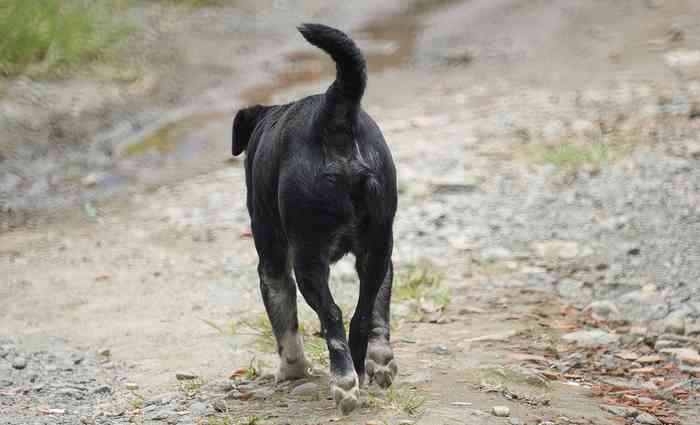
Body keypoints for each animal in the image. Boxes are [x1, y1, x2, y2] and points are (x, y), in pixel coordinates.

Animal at [232, 24, 396, 414]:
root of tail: (334, 116)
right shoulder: (384, 254)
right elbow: (379, 308)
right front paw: (380, 360)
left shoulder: (272, 265)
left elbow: (285, 323)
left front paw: (292, 369)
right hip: (377, 246)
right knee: (360, 314)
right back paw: (358, 370)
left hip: (307, 260)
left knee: (332, 315)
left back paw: (344, 381)